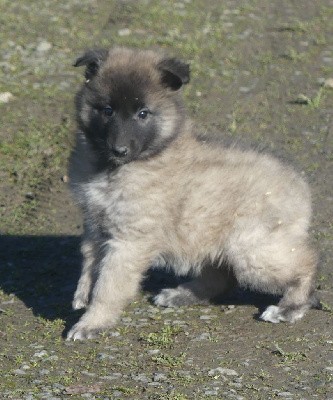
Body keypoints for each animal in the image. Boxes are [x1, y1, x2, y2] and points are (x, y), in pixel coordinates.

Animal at [66, 47, 318, 340]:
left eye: (143, 113)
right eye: (107, 110)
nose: (119, 150)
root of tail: (299, 183)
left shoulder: (129, 241)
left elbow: (108, 287)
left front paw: (92, 322)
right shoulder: (95, 226)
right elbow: (89, 264)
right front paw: (82, 295)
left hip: (252, 250)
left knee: (306, 263)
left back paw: (289, 307)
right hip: (211, 236)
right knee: (221, 277)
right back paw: (182, 294)